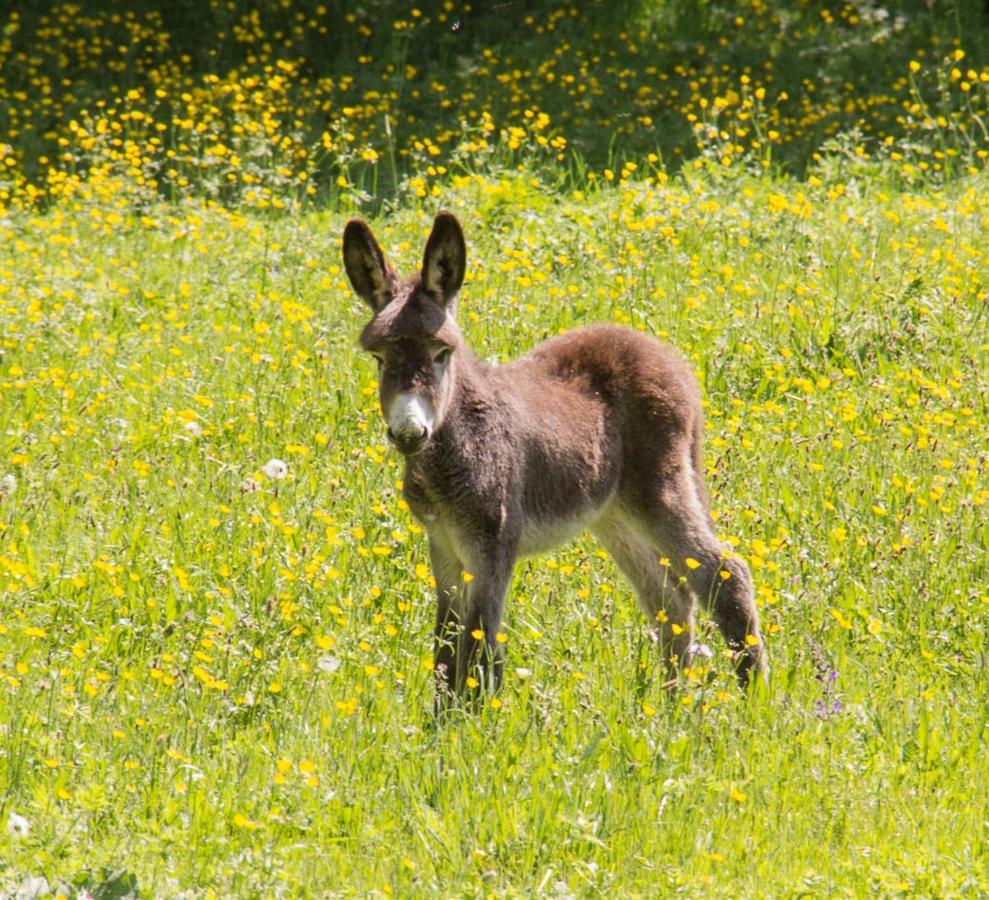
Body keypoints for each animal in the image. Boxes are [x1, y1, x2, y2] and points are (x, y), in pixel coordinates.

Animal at [344, 211, 768, 704]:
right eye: (378, 358)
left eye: (441, 354)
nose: (409, 433)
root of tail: (668, 358)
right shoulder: (443, 544)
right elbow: (446, 649)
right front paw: (443, 718)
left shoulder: (493, 545)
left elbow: (479, 648)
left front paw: (474, 721)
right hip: (613, 514)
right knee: (671, 599)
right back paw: (669, 705)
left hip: (657, 490)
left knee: (726, 574)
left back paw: (752, 701)